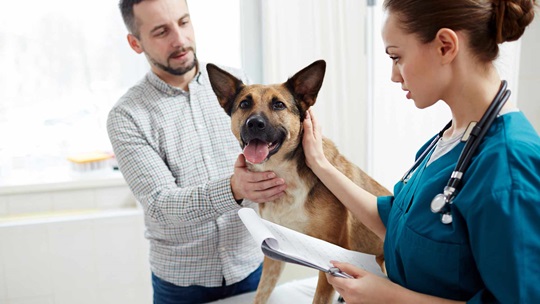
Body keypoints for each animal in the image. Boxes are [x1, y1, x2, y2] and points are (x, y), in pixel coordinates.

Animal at [208, 60, 392, 304]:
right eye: (244, 103)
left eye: (278, 105)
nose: (254, 123)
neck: (283, 173)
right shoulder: (274, 252)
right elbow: (261, 294)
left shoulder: (331, 258)